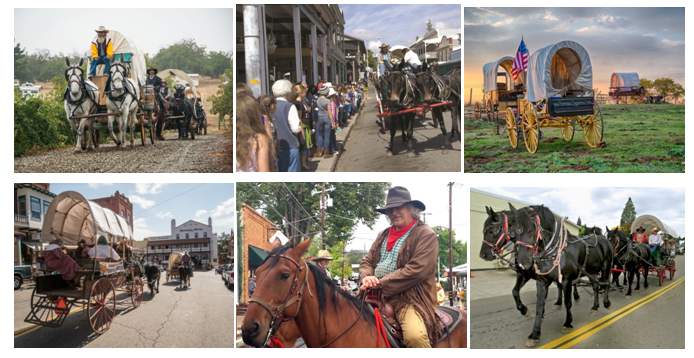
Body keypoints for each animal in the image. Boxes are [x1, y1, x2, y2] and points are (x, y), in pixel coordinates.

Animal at [512, 204, 616, 346]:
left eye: (530, 229)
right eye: (514, 232)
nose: (521, 263)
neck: (555, 250)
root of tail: (605, 240)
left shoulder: (567, 280)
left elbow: (568, 302)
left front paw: (567, 323)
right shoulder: (542, 281)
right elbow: (539, 305)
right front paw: (535, 334)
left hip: (606, 268)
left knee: (605, 284)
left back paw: (606, 303)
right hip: (592, 271)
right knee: (595, 286)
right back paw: (595, 307)